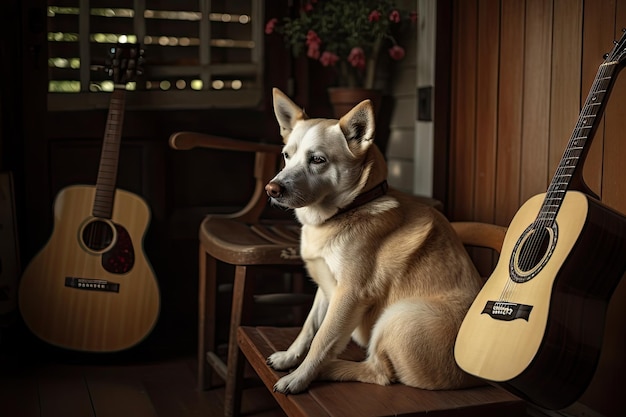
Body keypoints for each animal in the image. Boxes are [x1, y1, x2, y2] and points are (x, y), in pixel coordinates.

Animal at [260, 88, 480, 394]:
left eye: (317, 160)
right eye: (286, 156)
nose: (272, 189)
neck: (347, 210)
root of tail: (475, 377)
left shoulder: (349, 294)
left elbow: (322, 339)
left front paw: (300, 377)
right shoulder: (326, 289)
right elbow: (308, 327)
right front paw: (289, 357)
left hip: (397, 315)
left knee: (380, 373)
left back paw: (329, 369)